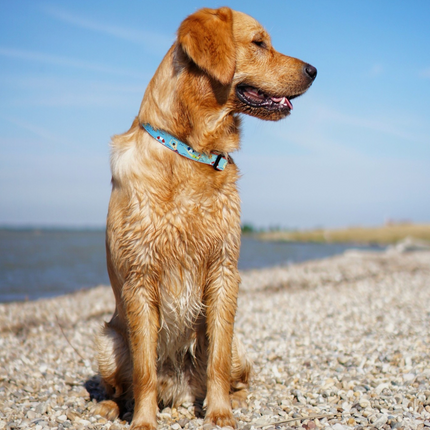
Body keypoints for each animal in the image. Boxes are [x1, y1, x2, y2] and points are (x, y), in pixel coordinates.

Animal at [95, 6, 316, 430]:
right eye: (259, 43)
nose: (314, 70)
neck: (190, 151)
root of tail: (179, 392)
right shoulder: (139, 277)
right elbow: (144, 370)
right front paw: (143, 421)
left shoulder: (224, 269)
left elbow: (217, 359)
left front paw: (219, 413)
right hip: (107, 343)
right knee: (123, 385)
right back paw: (111, 407)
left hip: (241, 344)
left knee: (234, 373)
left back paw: (235, 400)